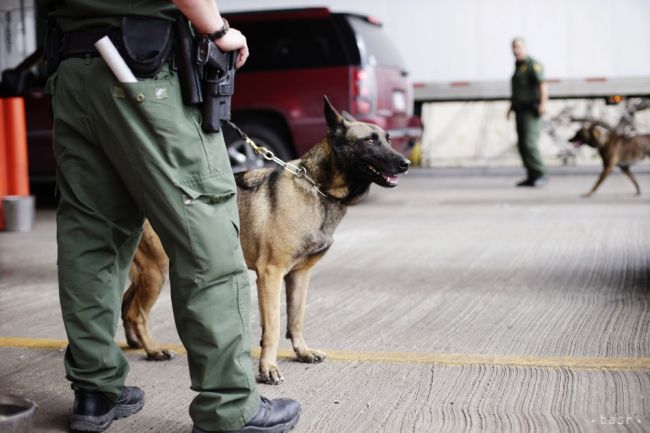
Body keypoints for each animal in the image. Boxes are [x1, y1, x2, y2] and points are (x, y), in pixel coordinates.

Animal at [120, 96, 410, 384]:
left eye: (387, 139)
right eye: (370, 140)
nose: (406, 163)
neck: (317, 188)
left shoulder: (299, 276)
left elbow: (296, 319)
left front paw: (302, 352)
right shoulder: (270, 274)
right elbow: (273, 327)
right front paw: (267, 368)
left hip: (148, 273)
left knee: (126, 304)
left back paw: (134, 343)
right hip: (156, 271)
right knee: (137, 312)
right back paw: (152, 349)